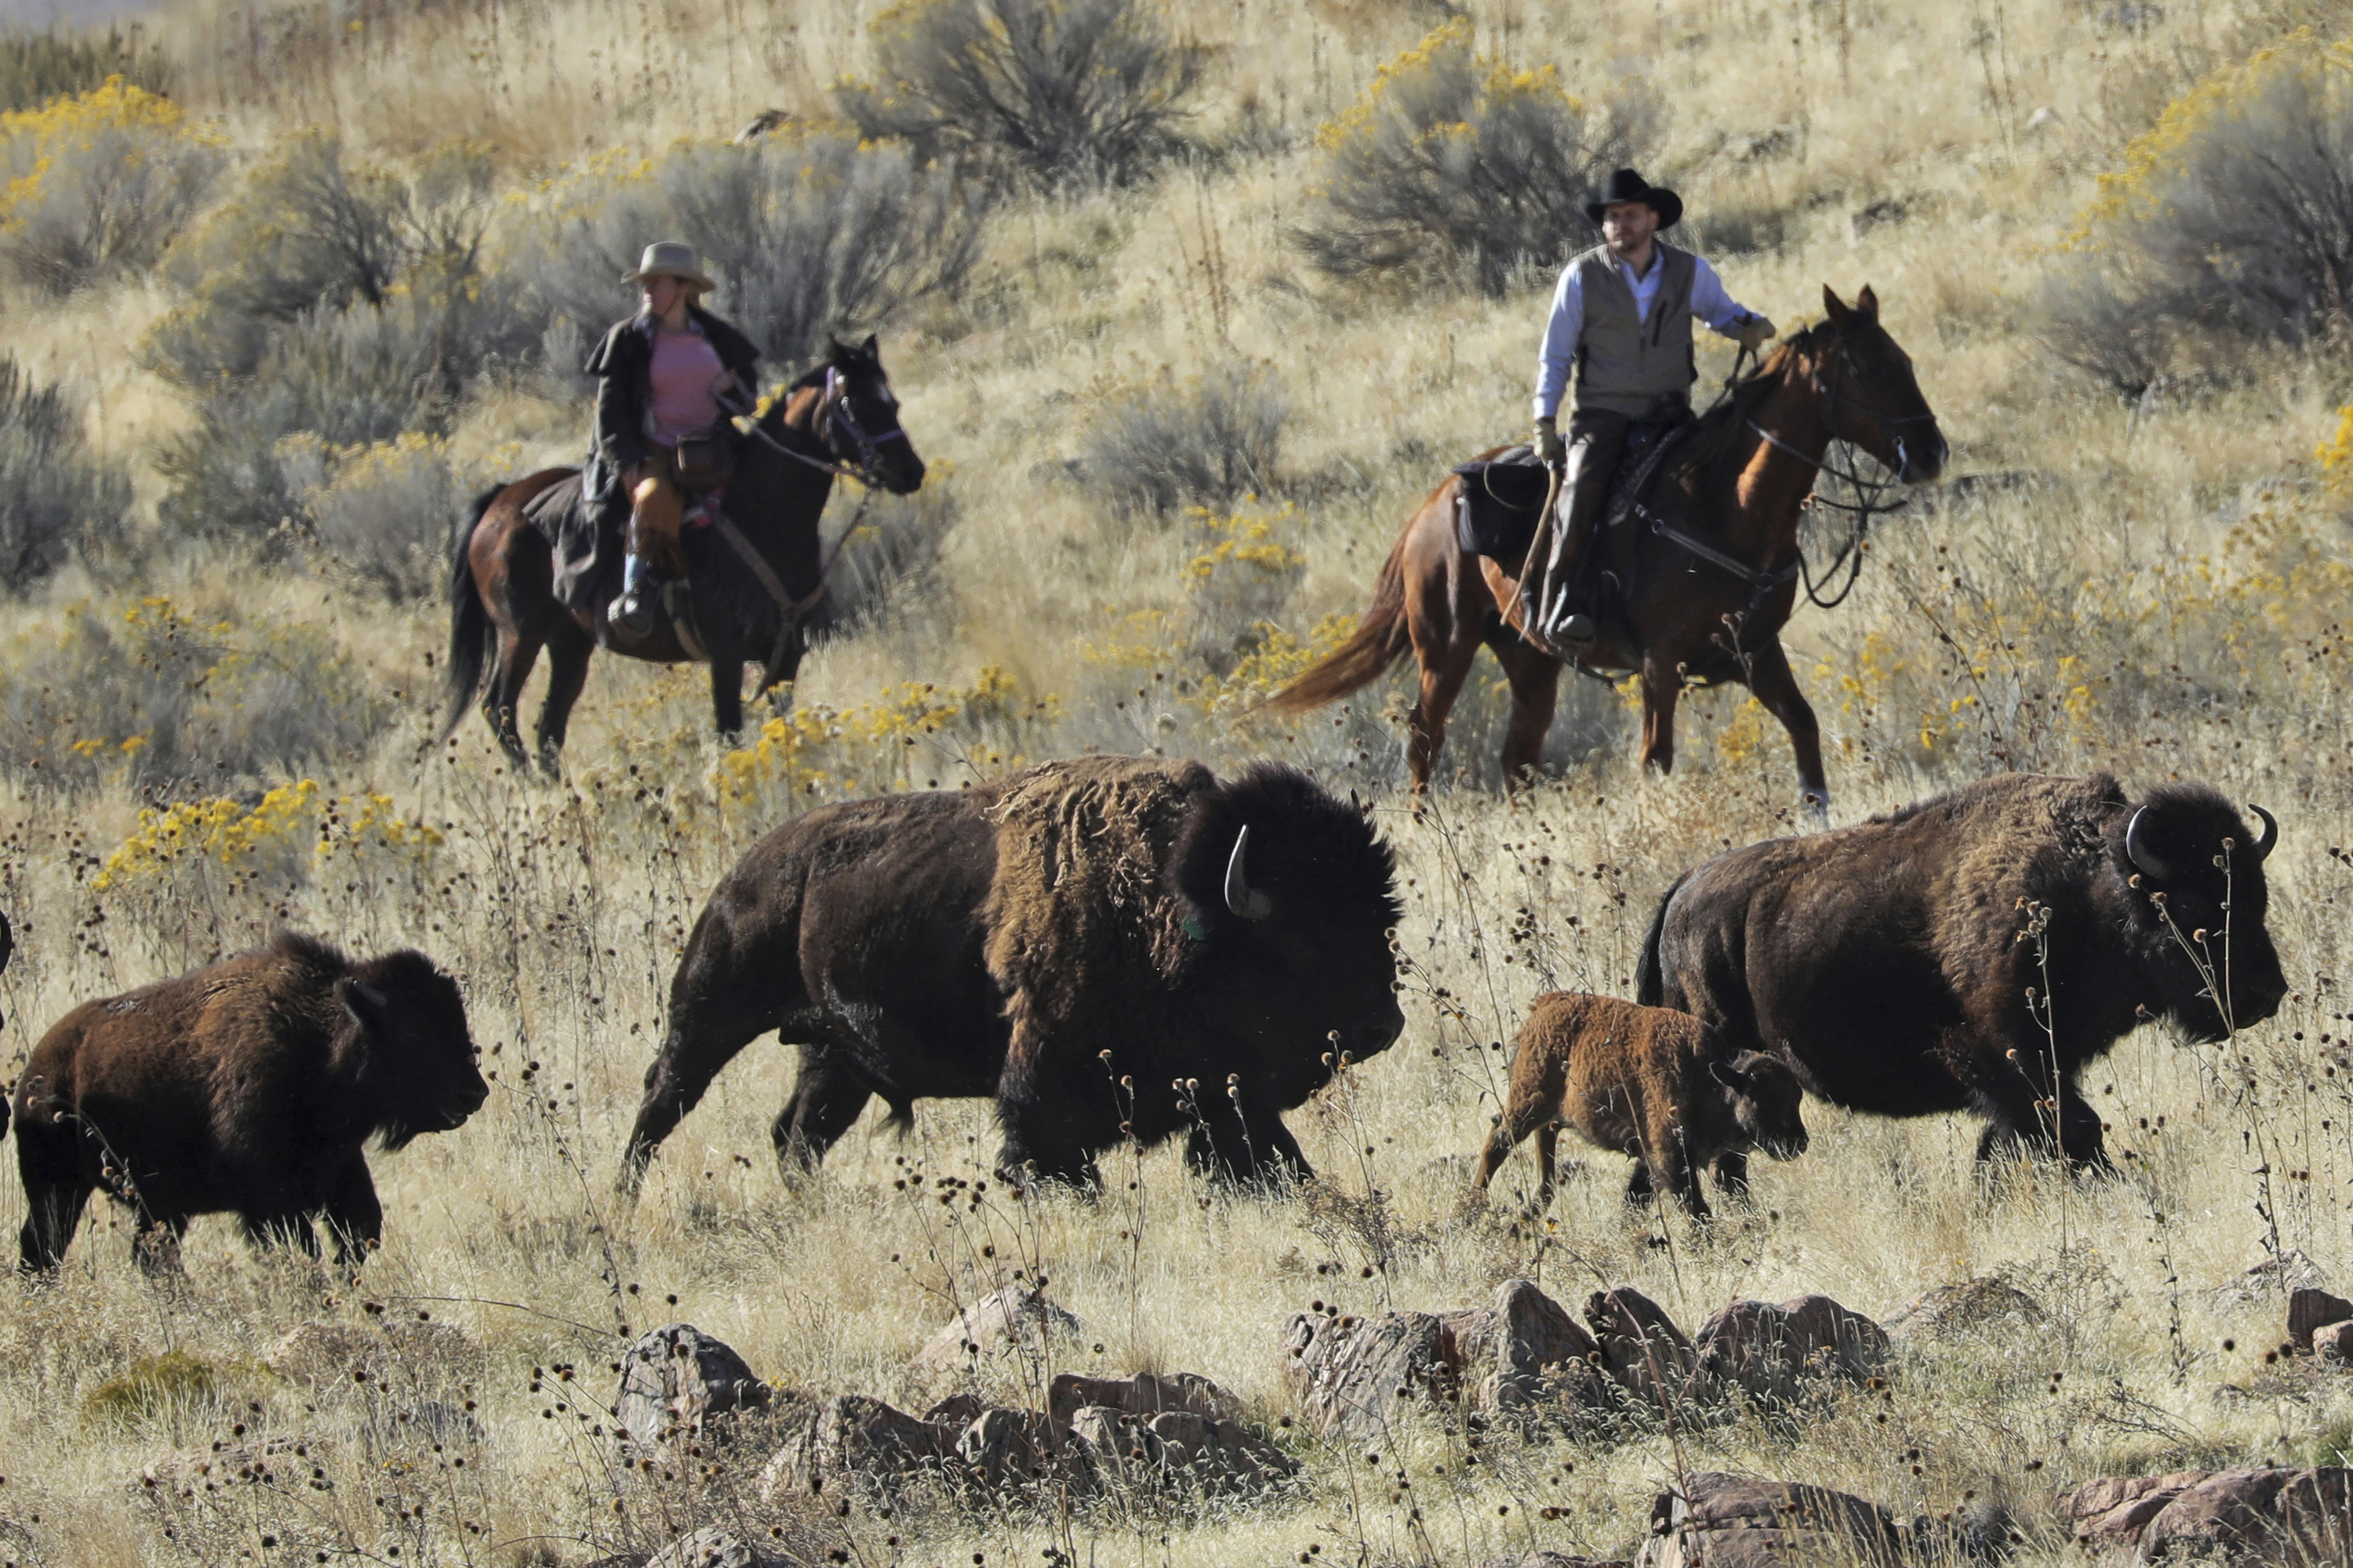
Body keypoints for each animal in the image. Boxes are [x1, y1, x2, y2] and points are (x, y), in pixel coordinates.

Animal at [14, 931, 488, 1273]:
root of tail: (39, 1065)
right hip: (57, 1185)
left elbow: (361, 1230)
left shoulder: (340, 1168)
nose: (474, 1092)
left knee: (150, 1255)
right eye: (412, 1032)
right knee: (44, 1245)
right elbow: (303, 1244)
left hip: (158, 1205)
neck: (320, 1037)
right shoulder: (273, 1197)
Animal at [621, 755, 1405, 1191]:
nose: (1384, 1025)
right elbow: (1047, 1158)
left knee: (794, 1136)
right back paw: (626, 1197)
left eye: (1379, 918)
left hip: (830, 1058)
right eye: (1303, 939)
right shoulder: (1041, 1093)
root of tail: (751, 864)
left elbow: (1270, 1155)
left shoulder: (1225, 1098)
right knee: (665, 1095)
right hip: (712, 1005)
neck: (1171, 902)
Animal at [1636, 772, 2287, 1171]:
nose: (2266, 992)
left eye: (2256, 896)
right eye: (2191, 906)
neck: (2085, 887)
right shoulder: (2001, 1053)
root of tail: (1679, 895)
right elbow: (2071, 1127)